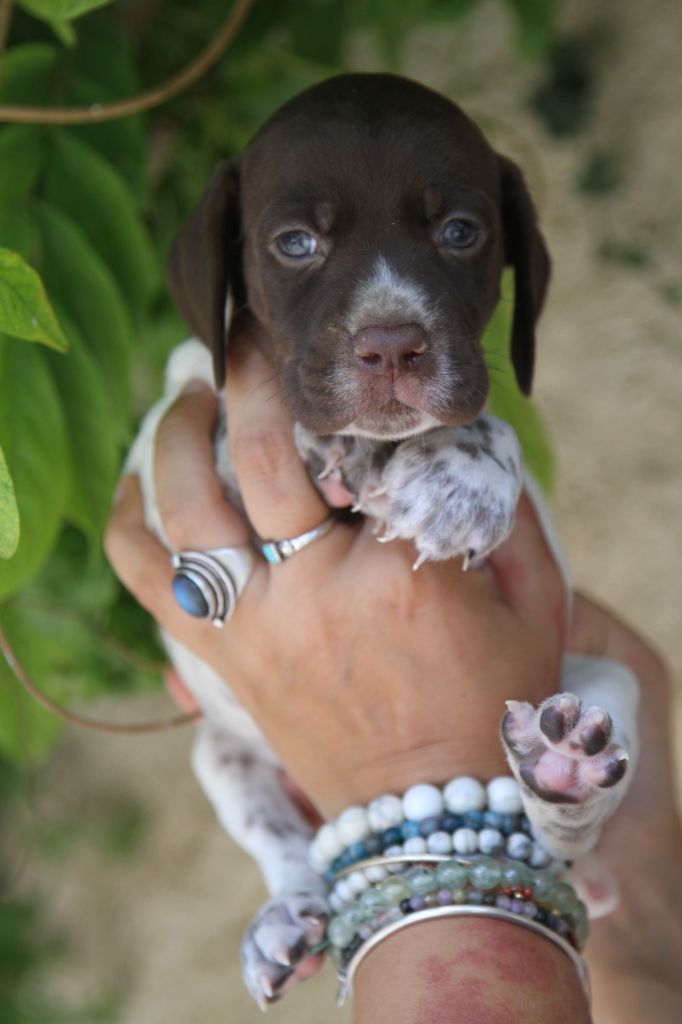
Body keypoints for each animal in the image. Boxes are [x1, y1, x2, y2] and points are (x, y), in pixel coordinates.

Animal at [125, 74, 638, 1007]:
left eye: (461, 232)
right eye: (295, 242)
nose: (392, 344)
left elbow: (486, 421)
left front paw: (459, 474)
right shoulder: (165, 427)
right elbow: (217, 417)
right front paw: (322, 446)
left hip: (604, 691)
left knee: (564, 832)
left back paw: (563, 770)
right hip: (221, 754)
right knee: (282, 841)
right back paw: (285, 917)